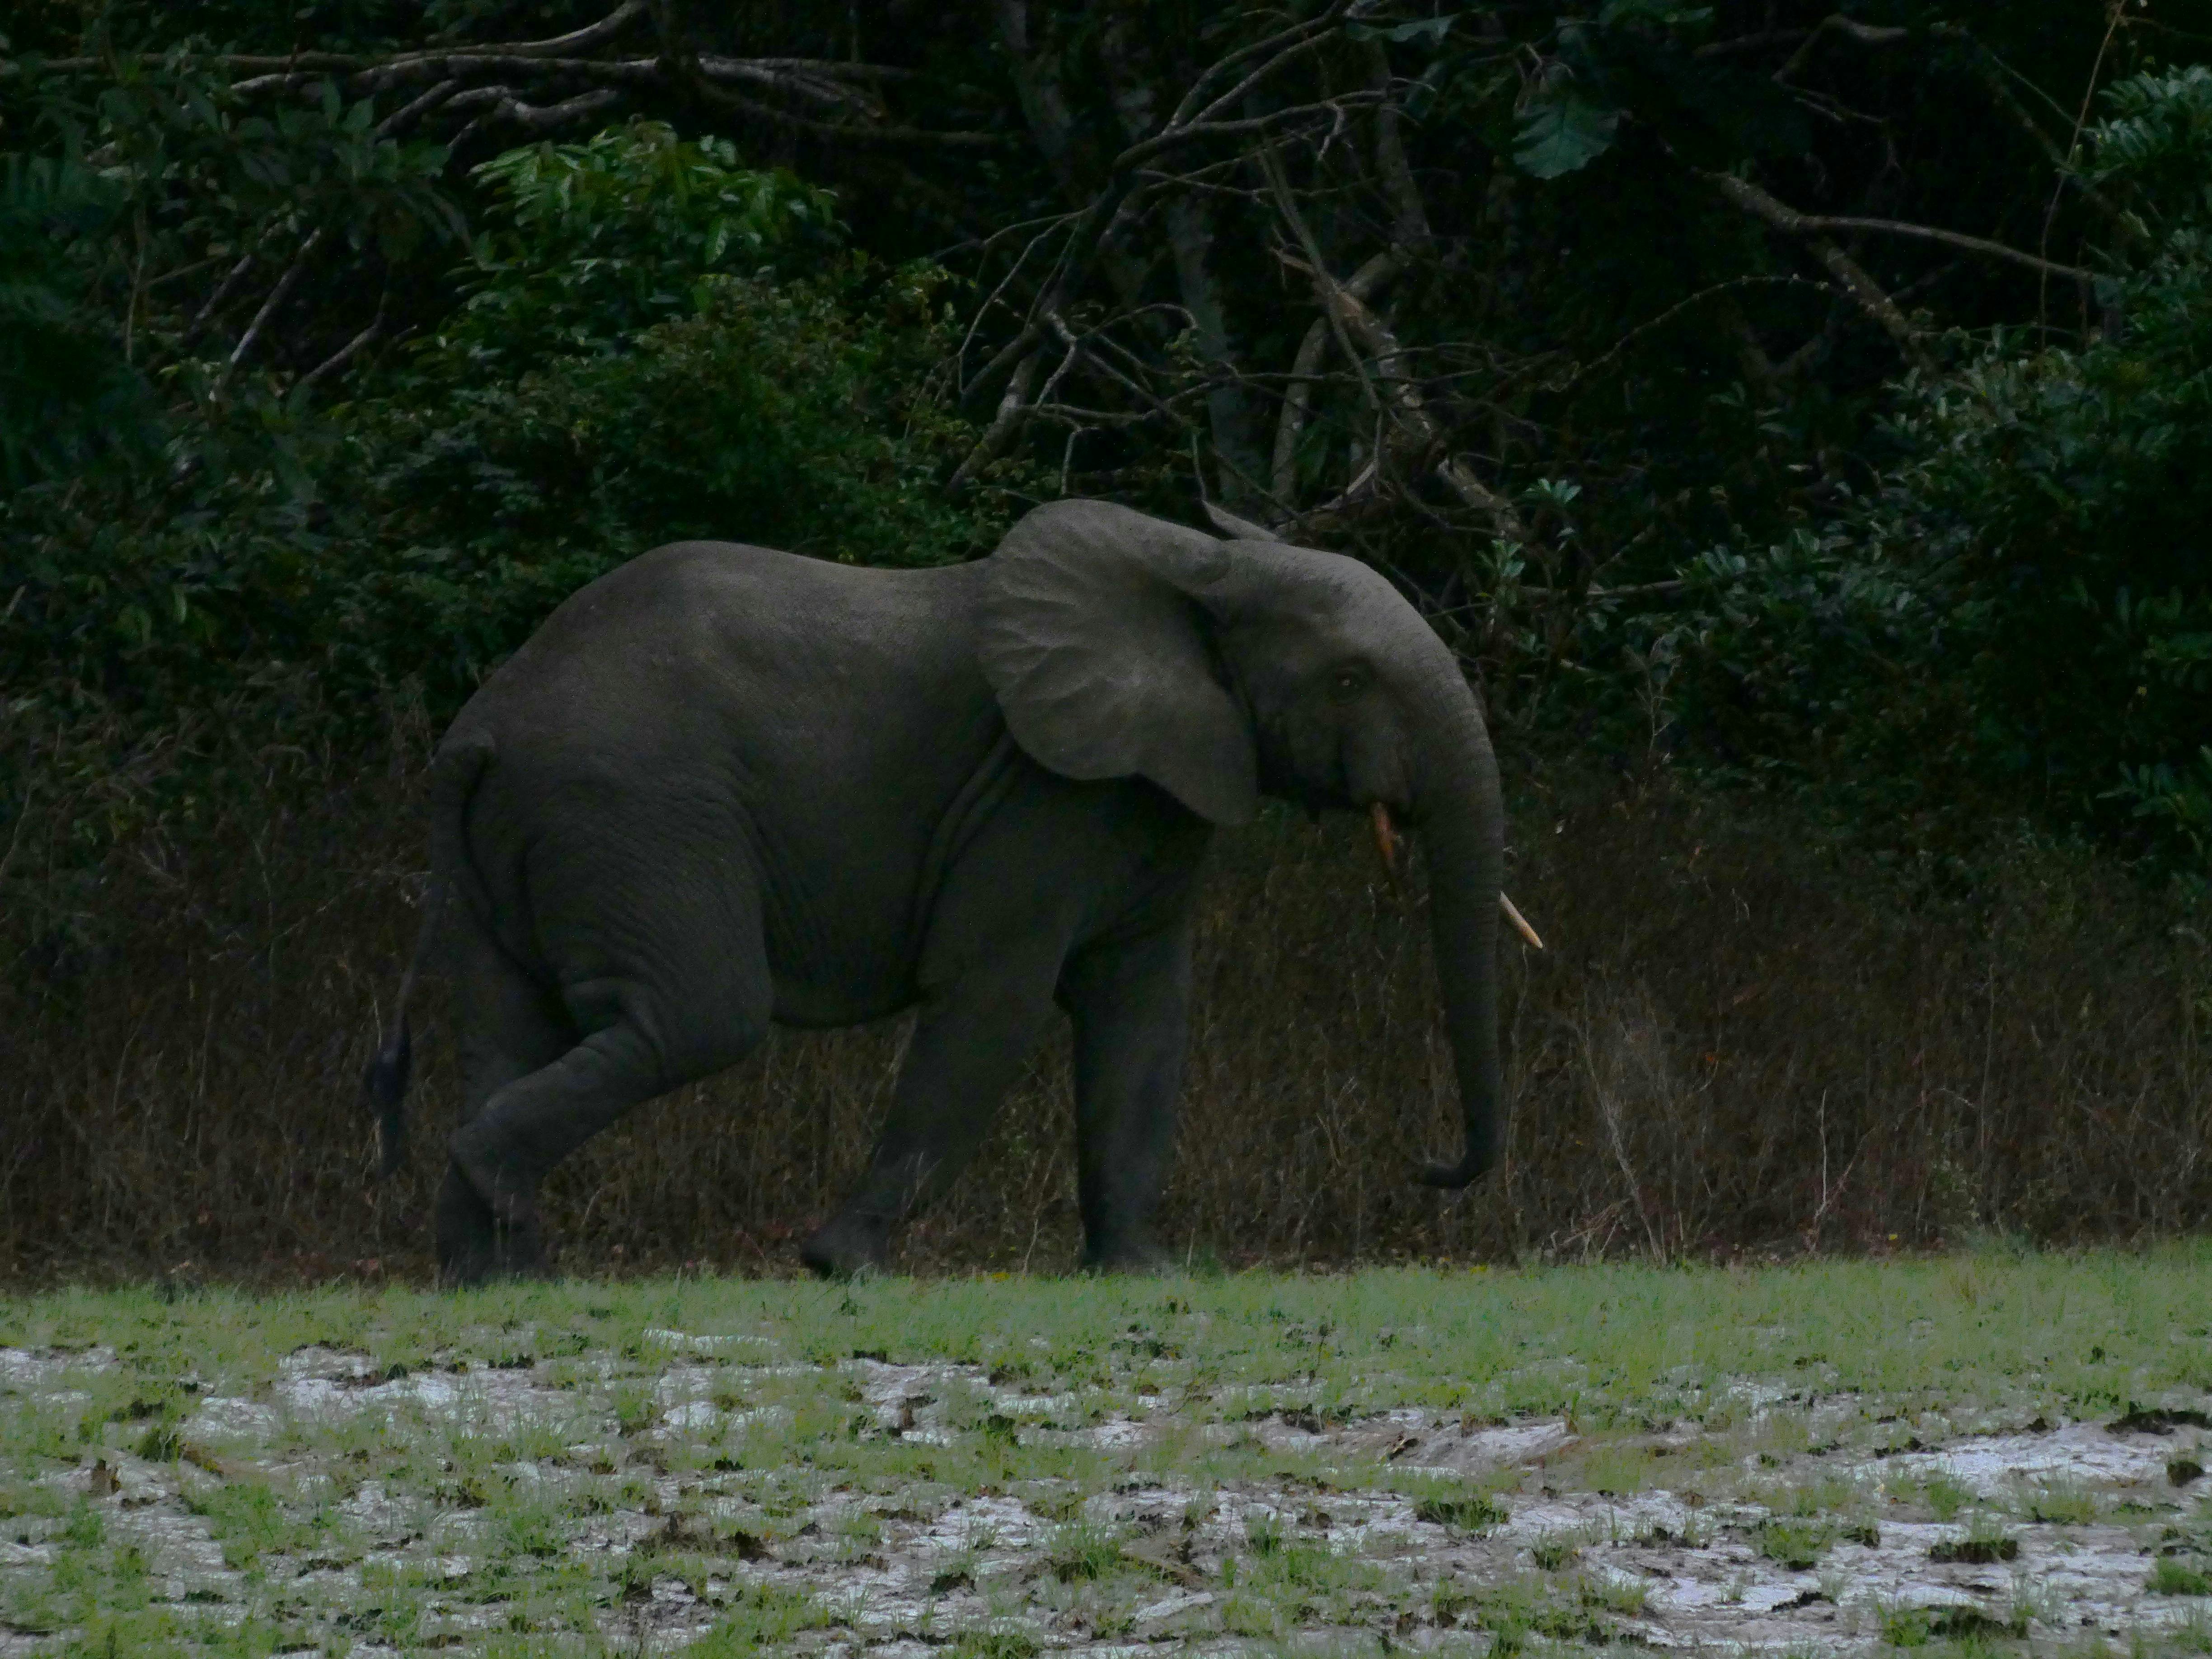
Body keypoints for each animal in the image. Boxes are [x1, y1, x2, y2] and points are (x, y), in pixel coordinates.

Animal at [364, 498, 1512, 1283]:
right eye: (1352, 679)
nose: (1427, 1166)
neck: (1198, 564)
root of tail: (483, 725)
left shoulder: (1154, 790)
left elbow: (1143, 1017)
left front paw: (1140, 1272)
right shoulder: (1044, 795)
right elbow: (992, 1004)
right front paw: (843, 1267)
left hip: (534, 831)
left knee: (511, 1030)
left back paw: (488, 1276)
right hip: (633, 810)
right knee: (698, 1017)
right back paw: (512, 1240)